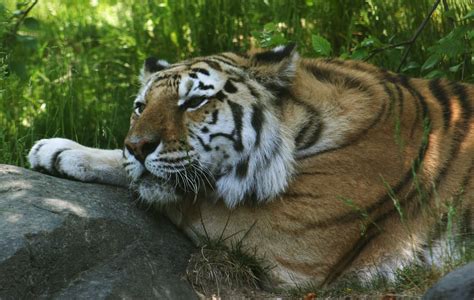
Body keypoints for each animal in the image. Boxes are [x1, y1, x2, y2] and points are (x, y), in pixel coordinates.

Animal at [27, 44, 472, 286]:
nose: (136, 146)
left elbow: (188, 195)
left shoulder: (290, 238)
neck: (304, 125)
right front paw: (54, 150)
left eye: (194, 102)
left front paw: (64, 152)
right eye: (140, 107)